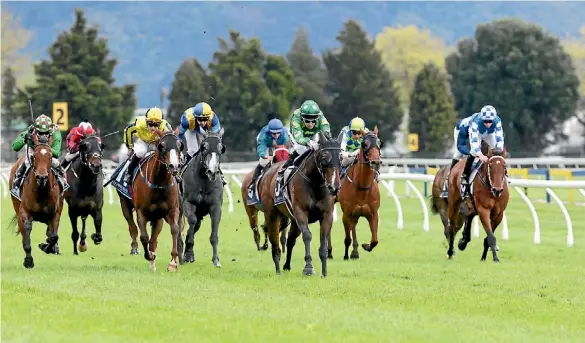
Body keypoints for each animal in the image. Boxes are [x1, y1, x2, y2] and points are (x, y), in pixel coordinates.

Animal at [9, 134, 65, 268]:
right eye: (34, 156)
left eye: (50, 156)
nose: (41, 177)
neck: (42, 190)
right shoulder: (24, 212)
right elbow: (27, 230)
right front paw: (28, 260)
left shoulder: (54, 213)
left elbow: (53, 236)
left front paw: (46, 246)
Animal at [117, 131, 181, 272]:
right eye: (161, 146)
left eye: (180, 145)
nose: (174, 166)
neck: (159, 184)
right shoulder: (141, 212)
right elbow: (144, 237)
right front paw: (149, 256)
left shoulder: (171, 210)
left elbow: (174, 229)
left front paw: (173, 262)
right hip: (124, 203)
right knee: (132, 227)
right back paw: (135, 248)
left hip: (158, 217)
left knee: (154, 240)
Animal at [176, 130, 226, 268]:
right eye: (205, 147)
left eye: (221, 148)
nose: (212, 172)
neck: (204, 180)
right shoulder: (189, 203)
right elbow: (191, 222)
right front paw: (188, 252)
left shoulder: (216, 207)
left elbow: (214, 233)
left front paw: (216, 260)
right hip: (179, 208)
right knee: (179, 227)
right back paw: (180, 252)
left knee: (195, 225)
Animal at [258, 133, 340, 278]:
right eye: (324, 156)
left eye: (341, 157)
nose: (334, 187)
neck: (315, 183)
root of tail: (267, 172)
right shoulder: (300, 212)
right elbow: (307, 236)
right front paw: (308, 268)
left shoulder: (327, 214)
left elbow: (323, 239)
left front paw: (324, 272)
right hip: (271, 214)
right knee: (274, 240)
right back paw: (278, 268)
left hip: (293, 220)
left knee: (291, 240)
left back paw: (286, 266)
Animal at [334, 127, 384, 260]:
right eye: (364, 144)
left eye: (380, 143)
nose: (376, 162)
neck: (362, 188)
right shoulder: (346, 214)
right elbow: (347, 239)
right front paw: (346, 256)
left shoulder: (373, 214)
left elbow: (375, 241)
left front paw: (365, 246)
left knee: (354, 226)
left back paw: (355, 252)